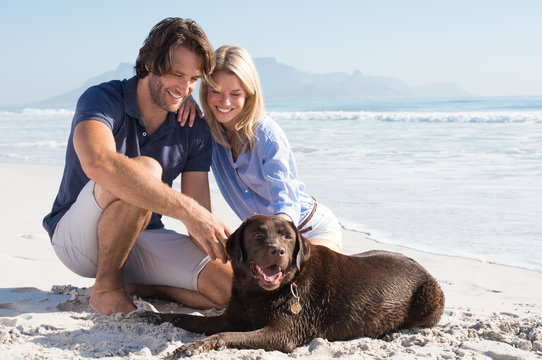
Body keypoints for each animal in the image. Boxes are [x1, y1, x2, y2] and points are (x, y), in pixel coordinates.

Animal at [135, 215, 442, 356]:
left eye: (287, 237)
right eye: (258, 235)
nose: (278, 251)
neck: (259, 292)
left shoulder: (283, 333)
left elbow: (225, 335)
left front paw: (197, 345)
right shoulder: (232, 316)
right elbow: (183, 317)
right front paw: (149, 315)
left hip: (430, 300)